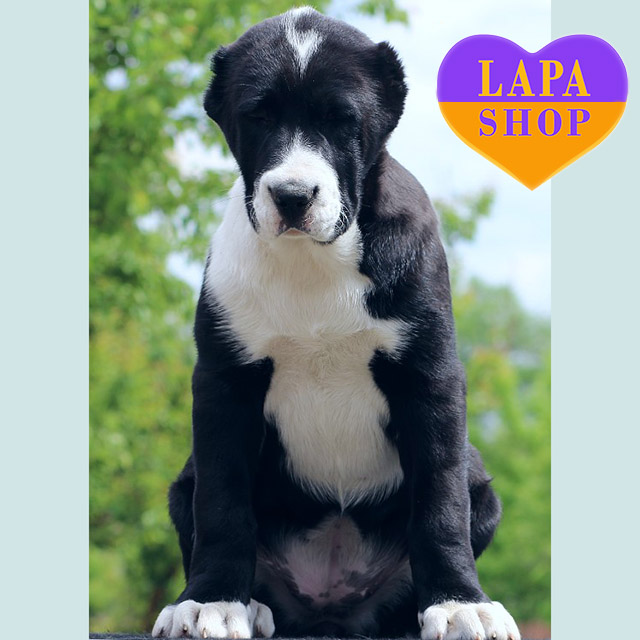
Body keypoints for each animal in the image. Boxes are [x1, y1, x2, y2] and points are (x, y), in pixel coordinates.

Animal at [152, 8, 521, 640]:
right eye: (257, 116)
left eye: (342, 119)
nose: (293, 195)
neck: (313, 261)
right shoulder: (225, 385)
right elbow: (221, 503)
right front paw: (211, 600)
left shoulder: (430, 379)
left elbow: (441, 500)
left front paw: (458, 603)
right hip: (186, 477)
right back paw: (252, 604)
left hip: (478, 483)